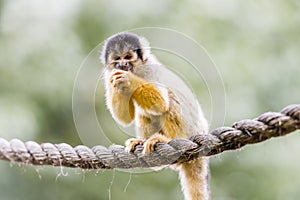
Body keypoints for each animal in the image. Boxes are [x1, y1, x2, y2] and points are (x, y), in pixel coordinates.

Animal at [99, 32, 210, 199]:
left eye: (128, 57)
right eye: (117, 58)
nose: (122, 65)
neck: (136, 70)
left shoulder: (150, 68)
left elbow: (161, 103)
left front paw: (128, 80)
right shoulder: (109, 75)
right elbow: (125, 117)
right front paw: (121, 80)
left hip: (191, 129)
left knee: (169, 99)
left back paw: (168, 139)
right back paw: (143, 141)